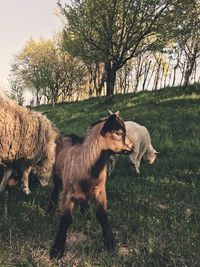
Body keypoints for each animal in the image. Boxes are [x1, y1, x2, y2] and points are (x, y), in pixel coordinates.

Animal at [48, 112, 134, 260]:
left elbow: (102, 215)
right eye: (119, 133)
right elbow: (65, 219)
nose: (132, 146)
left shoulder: (100, 190)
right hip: (56, 176)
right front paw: (56, 250)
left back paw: (85, 213)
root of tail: (69, 135)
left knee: (84, 200)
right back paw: (50, 209)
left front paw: (110, 244)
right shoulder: (68, 192)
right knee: (54, 191)